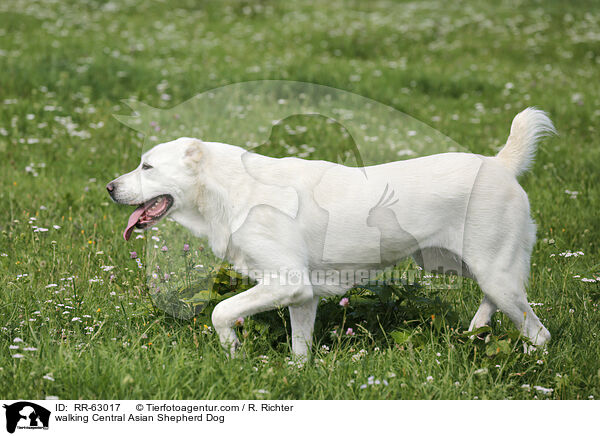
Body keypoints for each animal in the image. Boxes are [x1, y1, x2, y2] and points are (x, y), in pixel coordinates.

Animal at [106, 108, 552, 358]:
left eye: (147, 167)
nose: (108, 188)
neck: (228, 188)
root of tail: (499, 164)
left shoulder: (285, 282)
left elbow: (221, 312)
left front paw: (233, 353)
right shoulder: (302, 295)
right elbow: (300, 349)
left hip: (493, 271)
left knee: (538, 333)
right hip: (455, 264)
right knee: (497, 302)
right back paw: (474, 333)